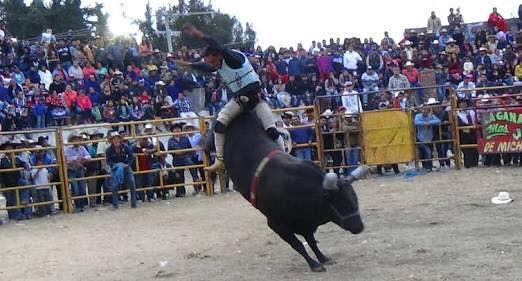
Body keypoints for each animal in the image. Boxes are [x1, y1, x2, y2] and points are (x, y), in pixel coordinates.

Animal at [222, 112, 362, 272]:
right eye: (342, 203)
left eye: (355, 200)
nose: (359, 227)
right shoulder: (276, 224)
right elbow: (298, 245)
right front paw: (314, 264)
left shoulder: (305, 222)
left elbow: (311, 241)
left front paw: (322, 258)